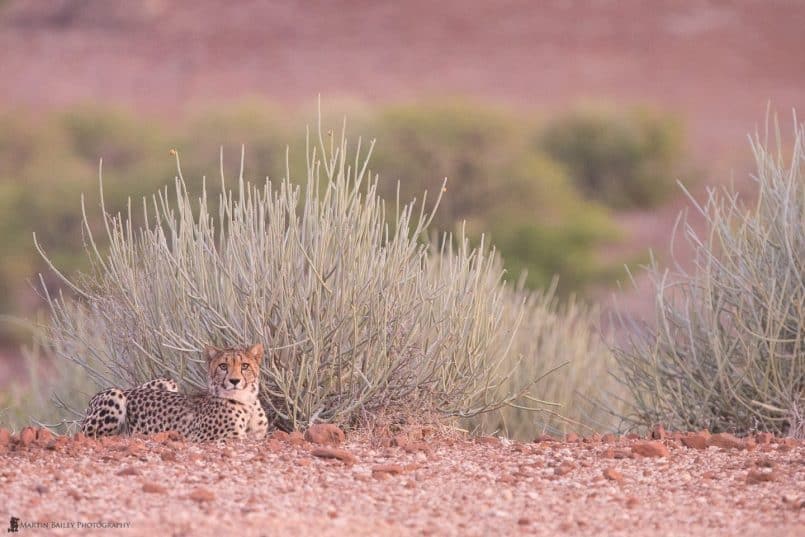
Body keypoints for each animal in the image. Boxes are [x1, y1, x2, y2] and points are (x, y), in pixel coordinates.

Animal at [81, 344, 270, 440]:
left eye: (244, 366)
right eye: (223, 366)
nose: (234, 381)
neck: (246, 401)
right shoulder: (210, 438)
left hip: (168, 382)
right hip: (115, 396)